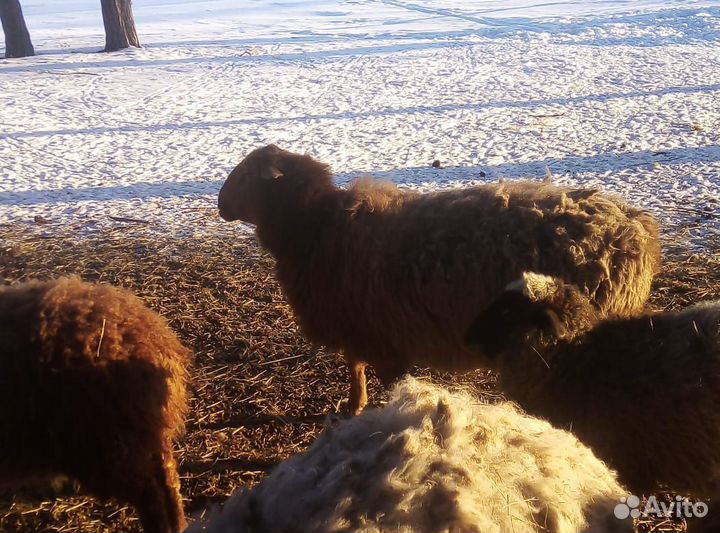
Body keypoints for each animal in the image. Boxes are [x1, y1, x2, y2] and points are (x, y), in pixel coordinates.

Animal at [217, 144, 661, 414]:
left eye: (244, 178)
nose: (220, 205)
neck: (316, 226)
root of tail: (637, 227)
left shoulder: (380, 339)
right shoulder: (358, 325)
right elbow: (353, 366)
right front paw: (354, 404)